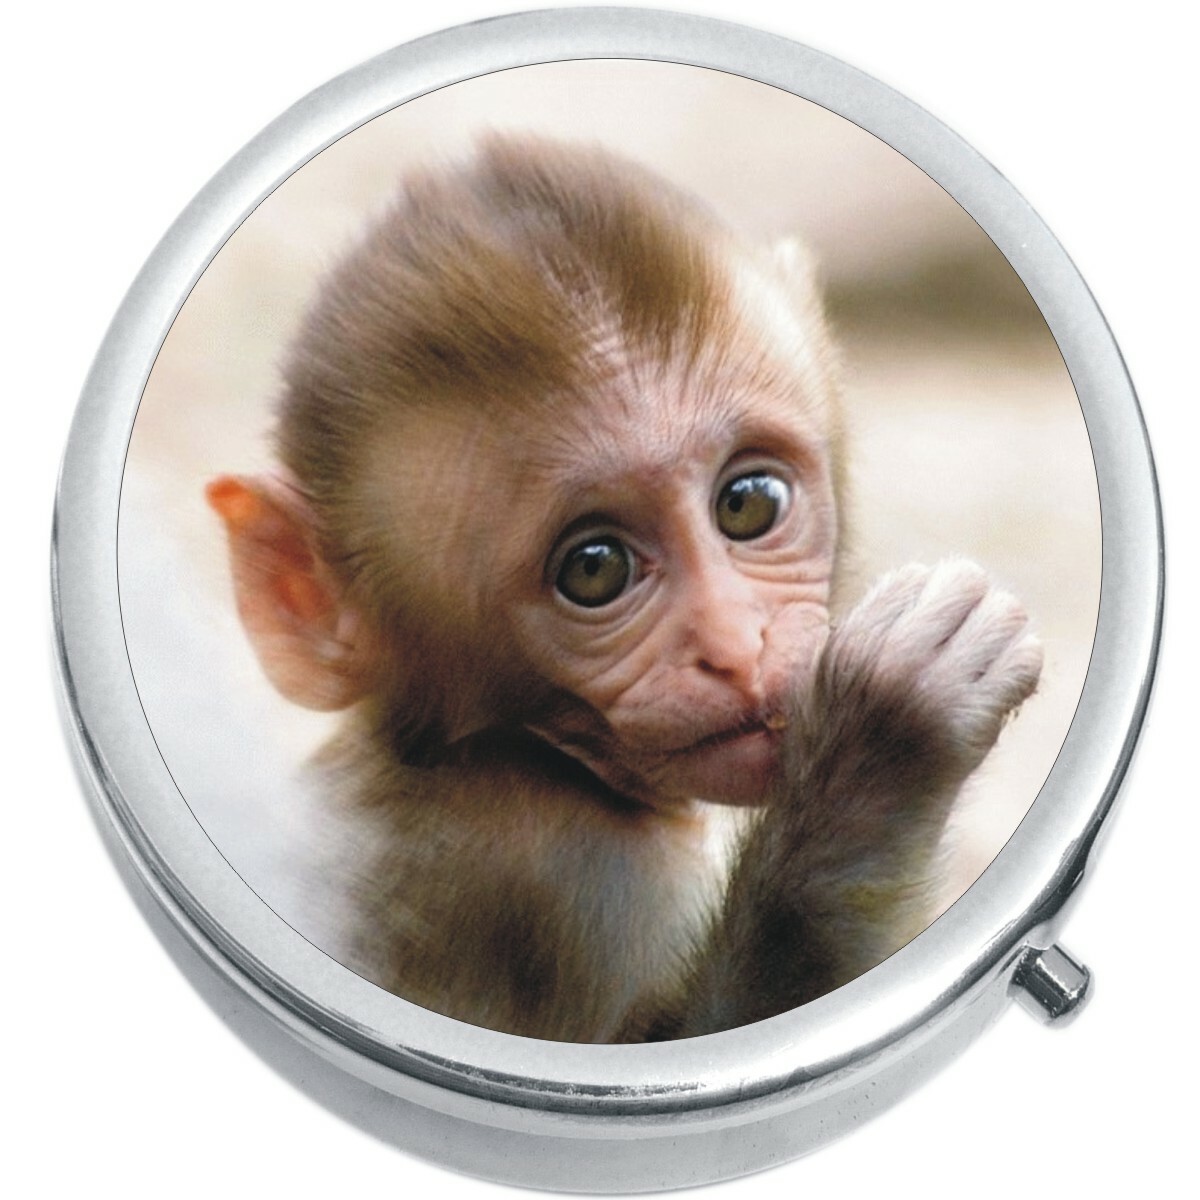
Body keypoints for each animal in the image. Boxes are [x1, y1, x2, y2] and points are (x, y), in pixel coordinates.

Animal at [206, 136, 1042, 1042]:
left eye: (747, 503)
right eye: (594, 567)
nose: (735, 646)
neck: (522, 754)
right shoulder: (540, 865)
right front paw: (879, 749)